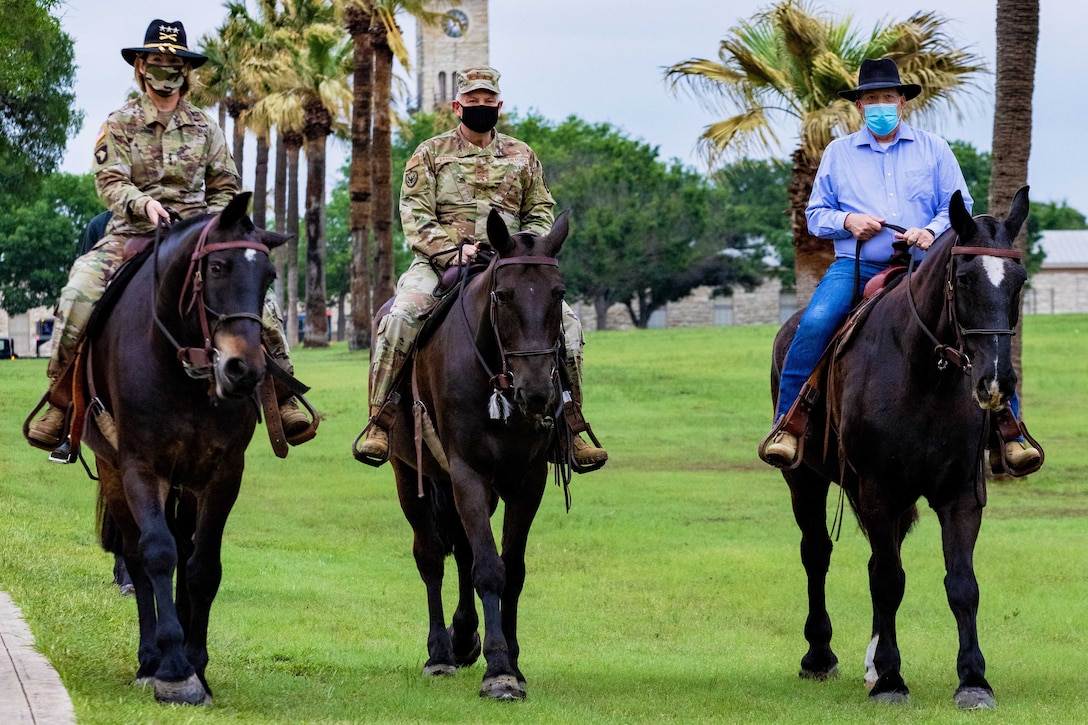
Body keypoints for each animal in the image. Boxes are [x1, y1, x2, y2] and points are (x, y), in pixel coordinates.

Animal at [84, 194, 289, 701]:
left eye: (269, 277)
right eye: (216, 267)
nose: (243, 370)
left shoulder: (222, 473)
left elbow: (203, 566)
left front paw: (197, 664)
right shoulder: (141, 467)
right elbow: (156, 553)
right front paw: (174, 669)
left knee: (185, 547)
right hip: (112, 469)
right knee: (138, 555)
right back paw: (149, 659)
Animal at [380, 205, 570, 696]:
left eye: (558, 294)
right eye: (502, 295)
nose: (537, 391)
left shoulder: (526, 480)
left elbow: (511, 569)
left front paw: (512, 662)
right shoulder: (466, 471)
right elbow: (487, 567)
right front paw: (498, 669)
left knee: (463, 550)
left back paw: (464, 637)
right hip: (410, 473)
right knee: (431, 556)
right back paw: (440, 653)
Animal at [770, 186, 1031, 705]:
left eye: (1019, 280)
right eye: (965, 278)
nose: (996, 381)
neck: (924, 375)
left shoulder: (960, 494)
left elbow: (961, 584)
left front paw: (973, 680)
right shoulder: (878, 489)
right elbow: (889, 580)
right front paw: (891, 680)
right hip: (804, 478)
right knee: (817, 553)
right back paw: (819, 657)